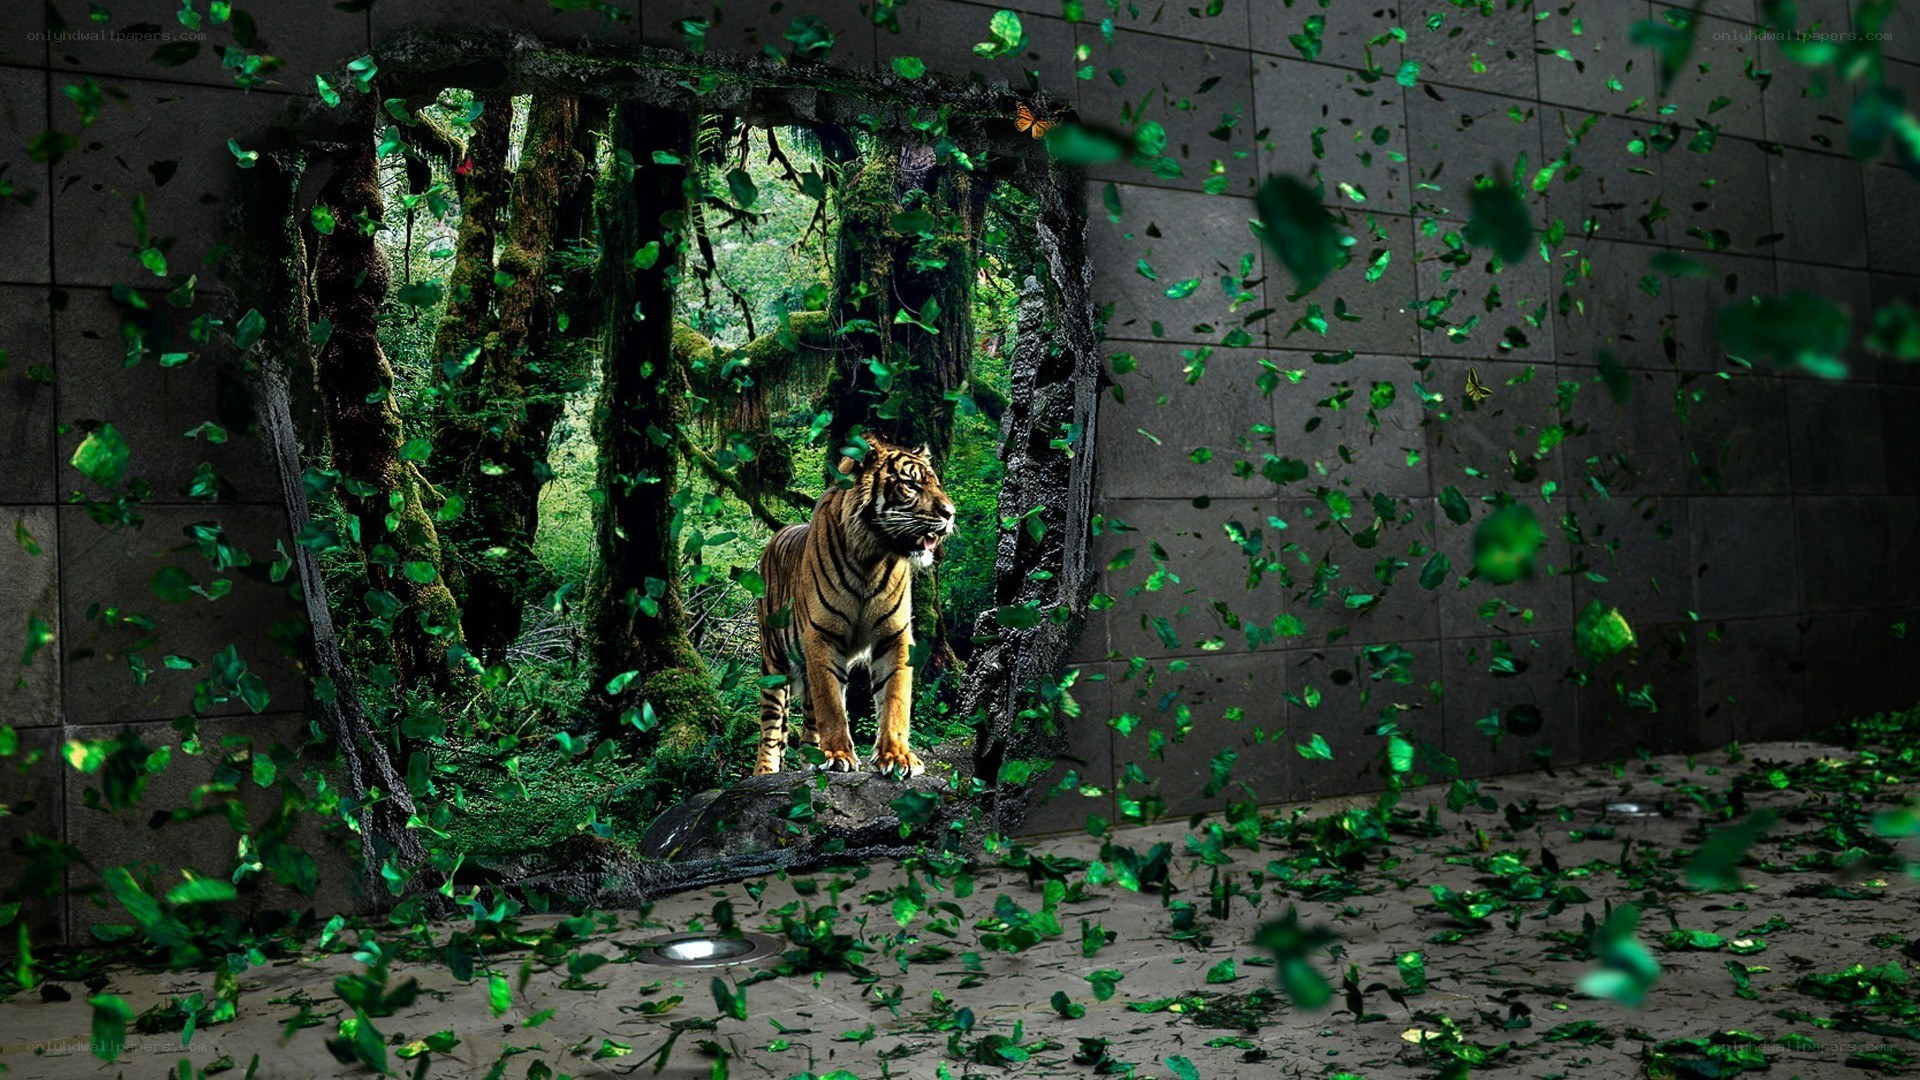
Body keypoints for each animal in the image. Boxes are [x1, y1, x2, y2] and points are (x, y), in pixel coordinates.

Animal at [753, 436, 957, 778]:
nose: (951, 513)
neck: (871, 557)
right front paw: (838, 754)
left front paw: (897, 756)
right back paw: (766, 772)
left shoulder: (894, 636)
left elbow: (895, 697)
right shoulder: (821, 635)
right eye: (911, 484)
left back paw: (811, 759)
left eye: (936, 485)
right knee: (771, 726)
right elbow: (832, 704)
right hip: (774, 663)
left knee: (808, 722)